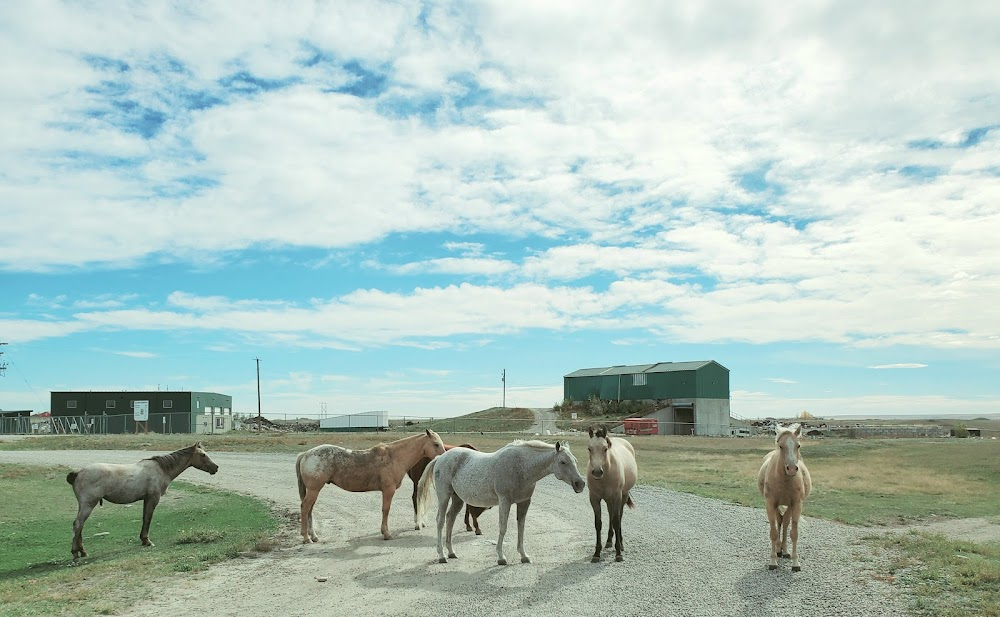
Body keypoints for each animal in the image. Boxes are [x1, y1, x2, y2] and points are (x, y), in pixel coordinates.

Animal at [68, 438, 221, 560]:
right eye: (202, 454)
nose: (216, 468)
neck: (161, 469)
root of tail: (78, 472)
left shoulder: (146, 499)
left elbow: (144, 518)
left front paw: (143, 540)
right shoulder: (153, 498)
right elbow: (148, 518)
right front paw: (147, 541)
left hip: (84, 505)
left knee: (79, 525)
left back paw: (82, 551)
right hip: (88, 504)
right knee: (78, 524)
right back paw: (76, 552)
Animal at [292, 426, 442, 540]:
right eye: (436, 444)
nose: (443, 456)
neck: (394, 457)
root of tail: (306, 454)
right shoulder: (388, 490)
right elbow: (386, 510)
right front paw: (386, 533)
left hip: (313, 491)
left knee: (310, 509)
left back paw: (313, 536)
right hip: (314, 490)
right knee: (305, 508)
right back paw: (306, 538)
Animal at [414, 438, 584, 564]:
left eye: (575, 460)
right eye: (563, 462)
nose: (580, 484)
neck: (521, 466)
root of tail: (440, 458)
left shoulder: (524, 502)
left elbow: (521, 528)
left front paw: (524, 555)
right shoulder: (505, 501)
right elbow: (503, 528)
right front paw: (501, 557)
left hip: (457, 499)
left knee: (450, 519)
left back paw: (451, 552)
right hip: (444, 495)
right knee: (441, 521)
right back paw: (441, 555)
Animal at [584, 426, 640, 560]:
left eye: (605, 449)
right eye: (589, 448)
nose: (597, 472)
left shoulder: (617, 497)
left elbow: (616, 521)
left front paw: (618, 553)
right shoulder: (594, 498)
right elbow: (598, 523)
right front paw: (596, 553)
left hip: (623, 496)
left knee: (618, 517)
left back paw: (620, 543)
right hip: (609, 499)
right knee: (610, 515)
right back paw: (609, 541)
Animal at [756, 422, 812, 572]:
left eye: (798, 445)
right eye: (781, 446)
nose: (792, 469)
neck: (784, 480)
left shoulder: (796, 504)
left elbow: (794, 533)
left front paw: (795, 563)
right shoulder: (770, 504)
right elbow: (773, 532)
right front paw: (773, 561)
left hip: (790, 506)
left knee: (785, 523)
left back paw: (785, 551)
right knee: (779, 521)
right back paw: (778, 549)